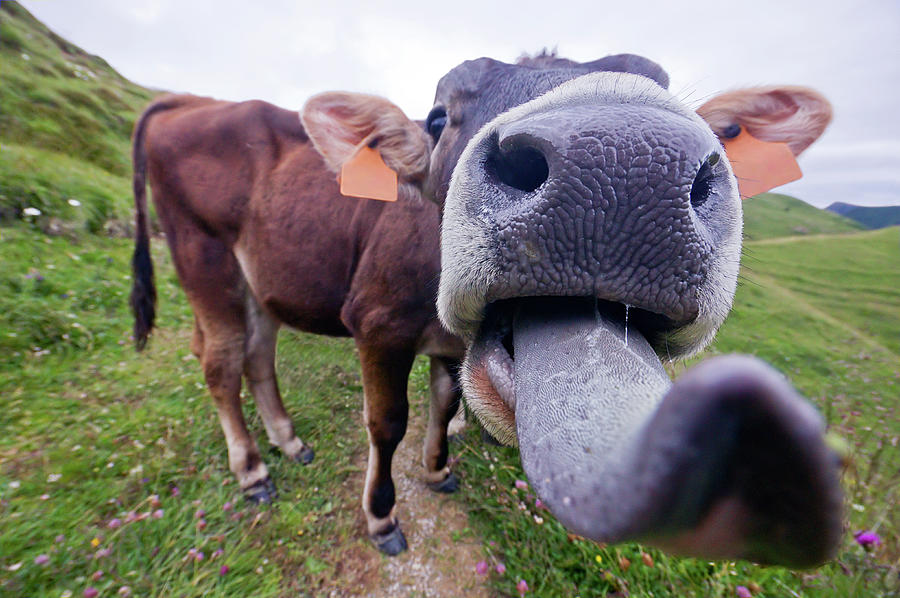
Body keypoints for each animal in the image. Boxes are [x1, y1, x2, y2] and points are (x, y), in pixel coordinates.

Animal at [131, 94, 468, 556]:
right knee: (221, 362)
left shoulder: (455, 342)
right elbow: (388, 423)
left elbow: (446, 402)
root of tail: (193, 102)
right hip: (203, 256)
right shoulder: (379, 323)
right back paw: (252, 471)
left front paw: (436, 470)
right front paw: (382, 516)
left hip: (261, 280)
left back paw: (288, 441)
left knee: (254, 355)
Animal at [302, 54, 844, 568]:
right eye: (437, 118)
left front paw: (437, 469)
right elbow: (387, 422)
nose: (622, 161)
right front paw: (382, 518)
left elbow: (444, 402)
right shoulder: (376, 324)